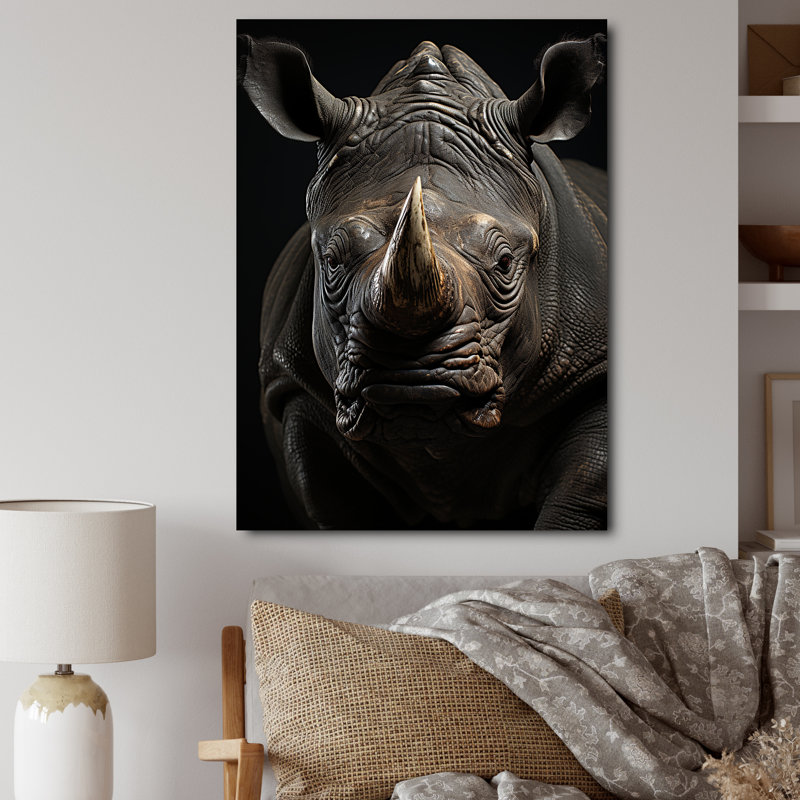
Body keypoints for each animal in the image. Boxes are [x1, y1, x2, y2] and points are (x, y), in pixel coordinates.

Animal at [239, 34, 607, 530]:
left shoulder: (591, 372)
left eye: (505, 264)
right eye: (331, 261)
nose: (412, 379)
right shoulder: (296, 385)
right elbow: (334, 503)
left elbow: (579, 498)